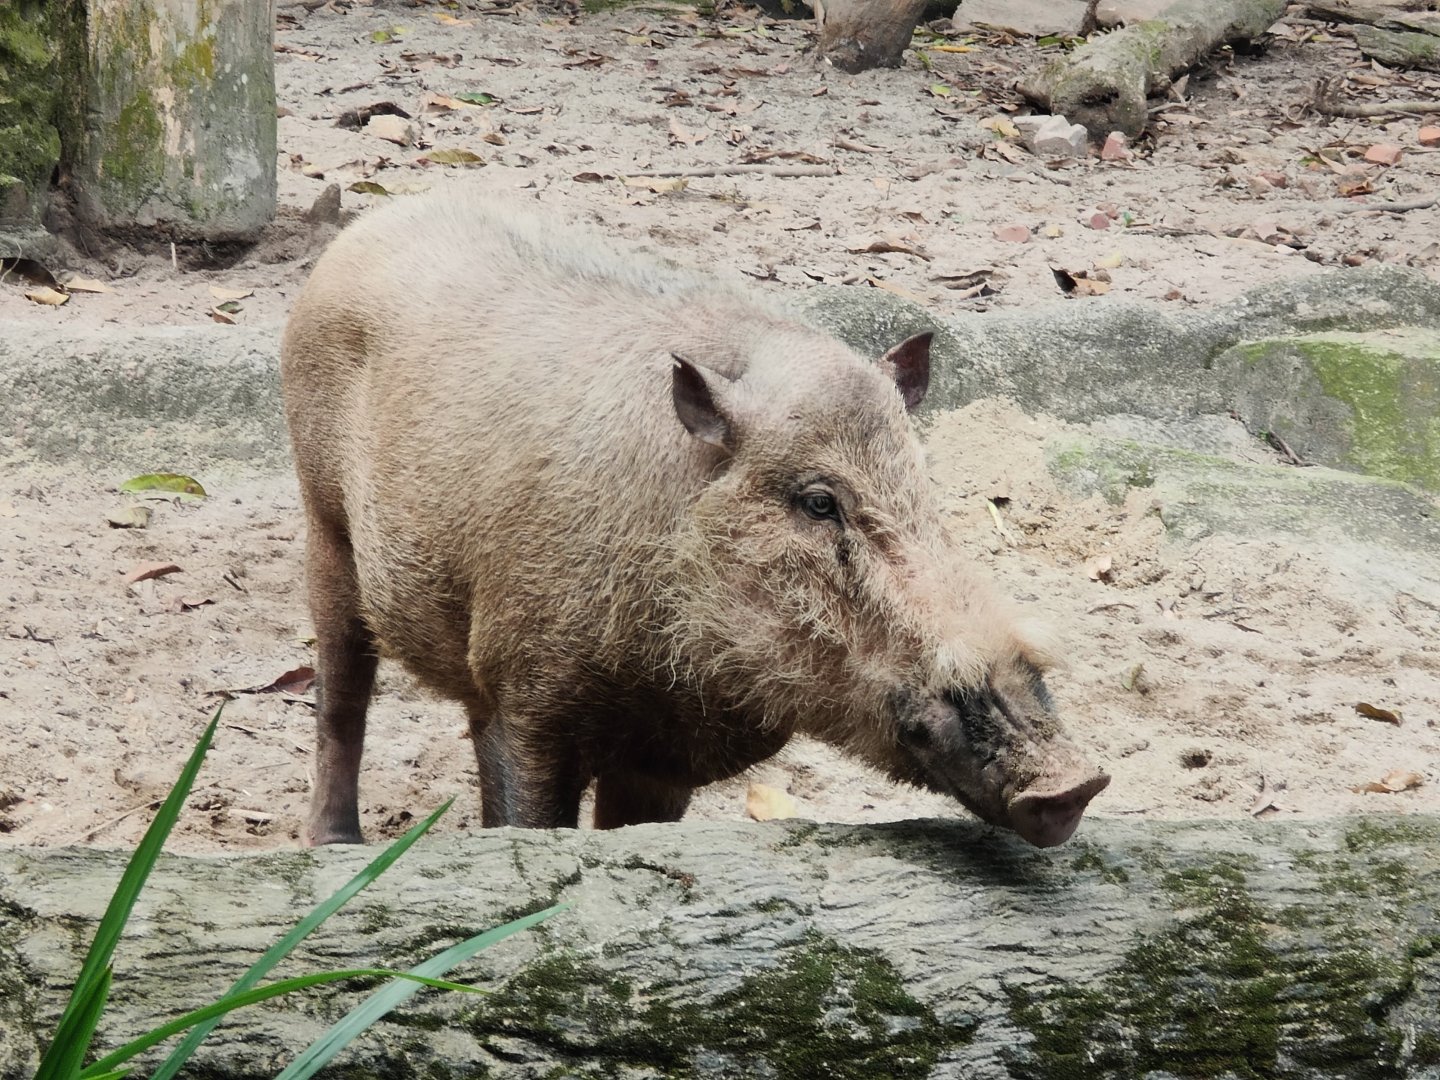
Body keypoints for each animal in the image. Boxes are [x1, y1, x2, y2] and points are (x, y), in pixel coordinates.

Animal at [280, 190, 1109, 848]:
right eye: (819, 501)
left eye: (921, 485)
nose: (1075, 784)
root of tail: (373, 221)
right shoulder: (527, 698)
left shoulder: (662, 758)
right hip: (326, 522)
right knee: (342, 692)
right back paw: (338, 845)